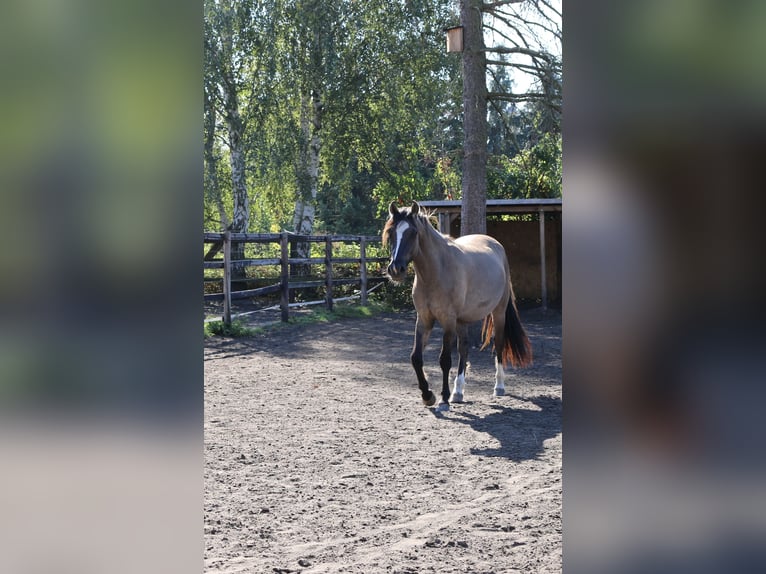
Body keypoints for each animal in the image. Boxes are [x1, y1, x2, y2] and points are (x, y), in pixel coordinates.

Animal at [384, 200, 536, 412]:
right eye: (391, 233)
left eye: (413, 233)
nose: (395, 269)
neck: (436, 271)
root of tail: (496, 245)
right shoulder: (424, 319)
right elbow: (416, 357)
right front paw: (428, 395)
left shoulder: (448, 320)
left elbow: (445, 359)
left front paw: (443, 398)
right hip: (462, 320)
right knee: (464, 348)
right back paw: (458, 392)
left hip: (498, 313)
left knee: (498, 344)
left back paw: (498, 386)